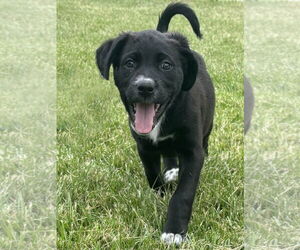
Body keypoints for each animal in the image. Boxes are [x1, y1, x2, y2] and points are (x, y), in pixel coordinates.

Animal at [96, 2, 216, 245]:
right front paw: (159, 195)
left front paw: (174, 231)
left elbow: (183, 194)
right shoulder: (144, 146)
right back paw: (171, 169)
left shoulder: (193, 152)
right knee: (168, 153)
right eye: (130, 63)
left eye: (166, 65)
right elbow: (152, 174)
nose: (145, 87)